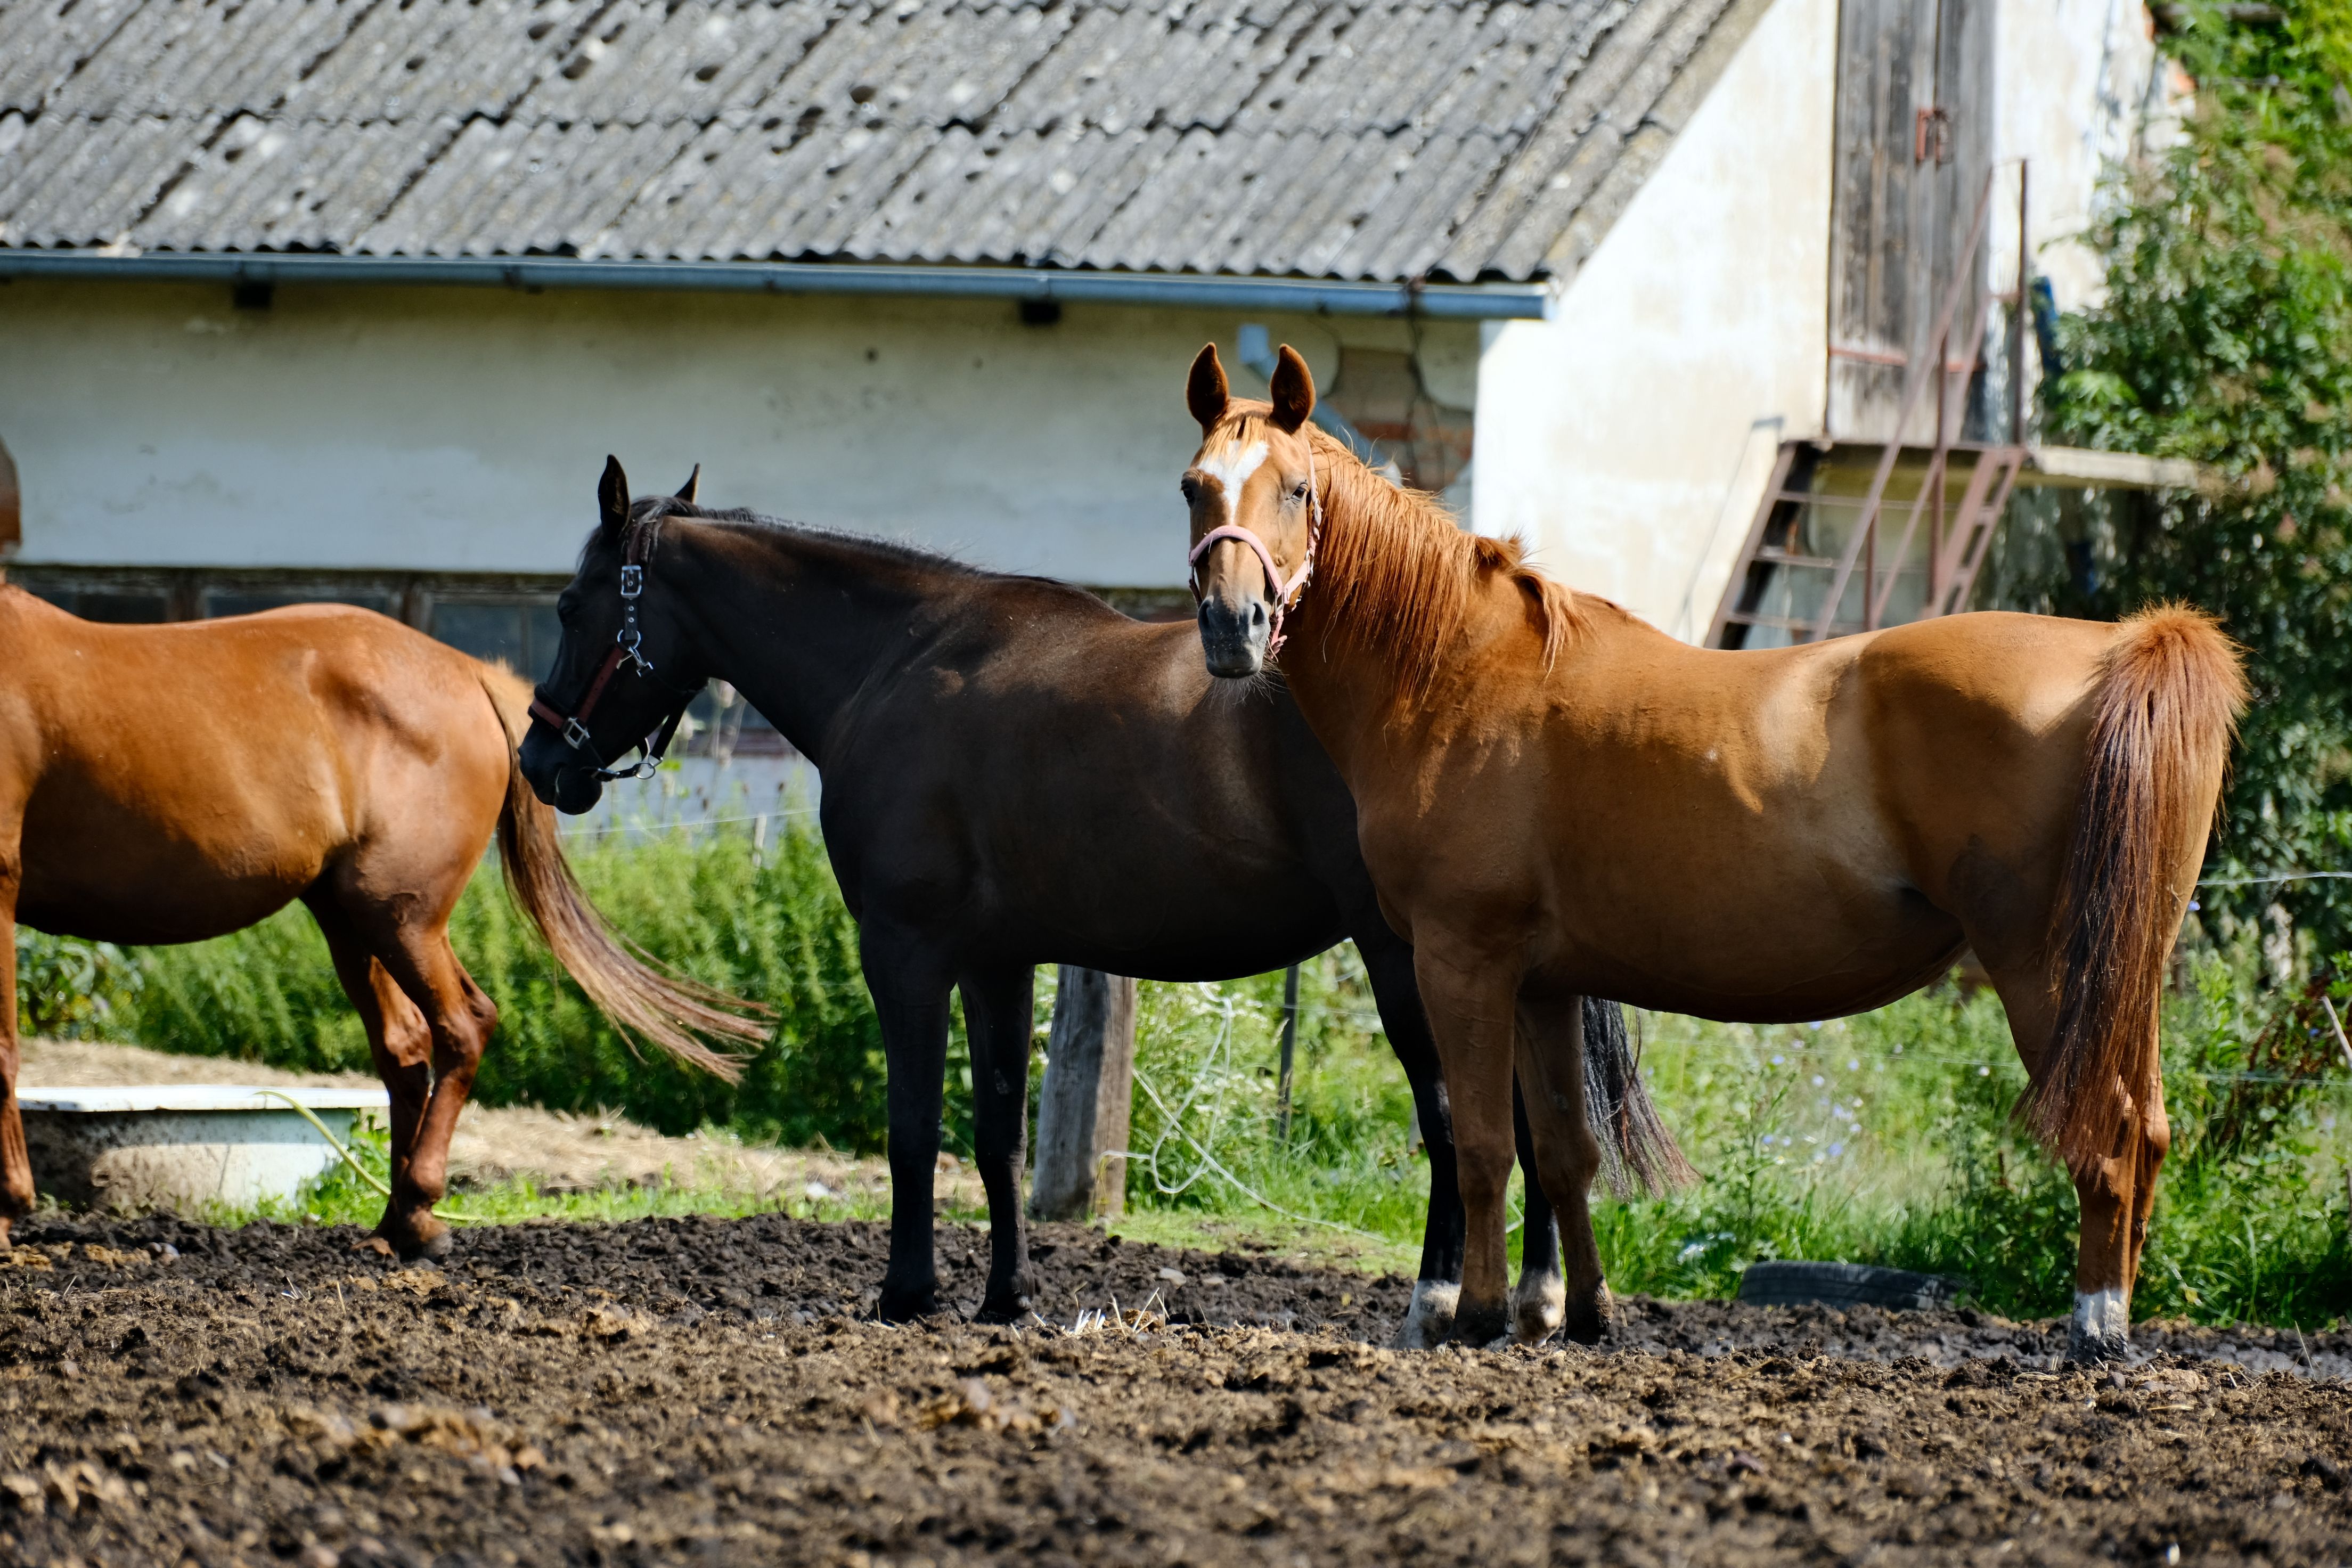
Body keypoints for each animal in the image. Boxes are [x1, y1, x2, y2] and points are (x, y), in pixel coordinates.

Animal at [0, 585, 764, 1257]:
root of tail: (472, 675)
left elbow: (4, 1051)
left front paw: (11, 1209)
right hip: (353, 919)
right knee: (406, 1049)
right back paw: (403, 1222)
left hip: (400, 919)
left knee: (462, 1027)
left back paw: (419, 1206)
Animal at [516, 457, 1686, 1343]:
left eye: (572, 605)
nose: (540, 760)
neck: (898, 661)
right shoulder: (997, 959)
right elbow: (997, 1130)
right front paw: (1005, 1294)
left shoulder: (905, 948)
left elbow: (912, 1123)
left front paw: (906, 1292)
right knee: (1530, 1119)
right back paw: (1538, 1299)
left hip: (1414, 959)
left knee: (1461, 1122)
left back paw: (1444, 1298)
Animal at [1179, 342, 2245, 1359]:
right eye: (1195, 486)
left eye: (1297, 489)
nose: (1232, 628)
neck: (1454, 669)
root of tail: (2120, 650)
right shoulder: (1542, 984)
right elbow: (1564, 1152)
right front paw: (1580, 1316)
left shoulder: (1461, 959)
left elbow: (1482, 1146)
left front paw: (1477, 1316)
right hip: (2128, 975)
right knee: (2149, 1129)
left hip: (2046, 973)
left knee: (2107, 1135)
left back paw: (2095, 1328)